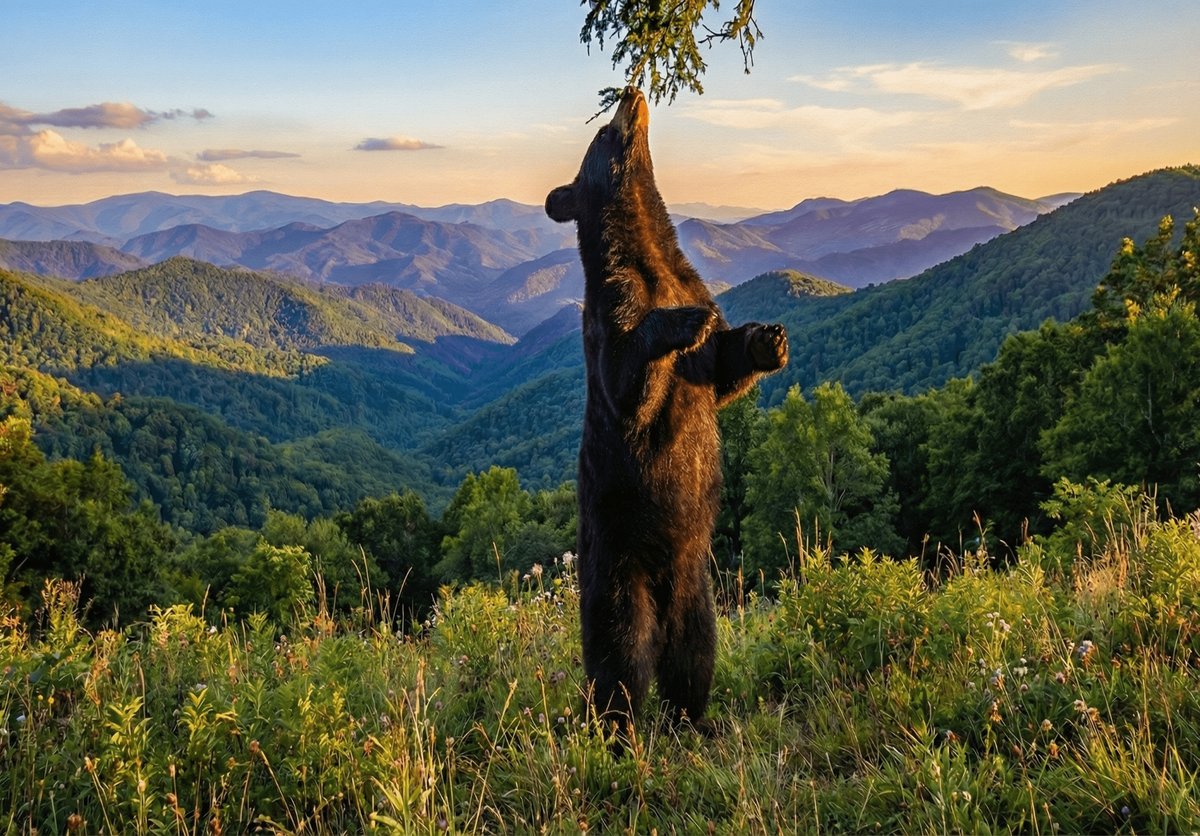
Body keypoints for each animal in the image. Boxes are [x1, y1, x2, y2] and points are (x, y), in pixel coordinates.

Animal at [545, 86, 789, 737]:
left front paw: (768, 339)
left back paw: (692, 719)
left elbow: (722, 368)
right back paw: (618, 731)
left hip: (695, 589)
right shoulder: (611, 313)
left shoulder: (691, 279)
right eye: (604, 133)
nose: (631, 92)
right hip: (613, 565)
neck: (649, 253)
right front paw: (681, 323)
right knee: (620, 660)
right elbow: (629, 382)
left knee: (694, 654)